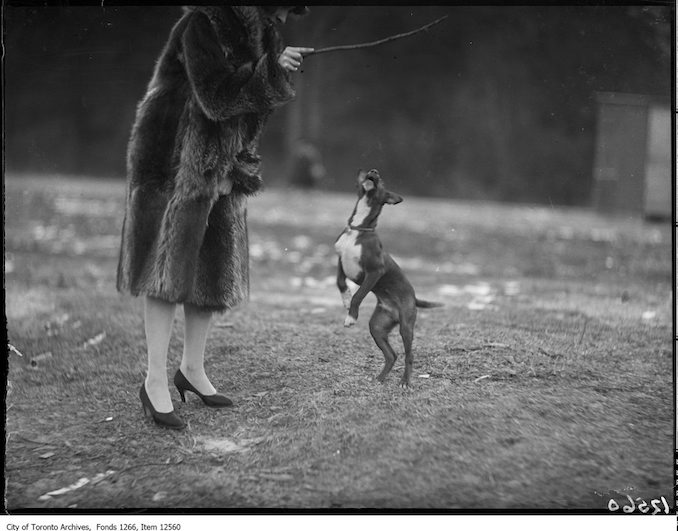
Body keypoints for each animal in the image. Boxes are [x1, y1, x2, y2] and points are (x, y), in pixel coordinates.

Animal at [334, 168, 440, 388]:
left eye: (381, 179)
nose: (373, 171)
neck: (358, 228)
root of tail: (413, 298)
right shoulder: (340, 259)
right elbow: (340, 283)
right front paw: (345, 300)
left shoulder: (375, 271)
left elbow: (359, 295)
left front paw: (351, 316)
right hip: (377, 326)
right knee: (392, 355)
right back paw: (380, 379)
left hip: (406, 326)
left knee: (409, 355)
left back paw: (405, 382)